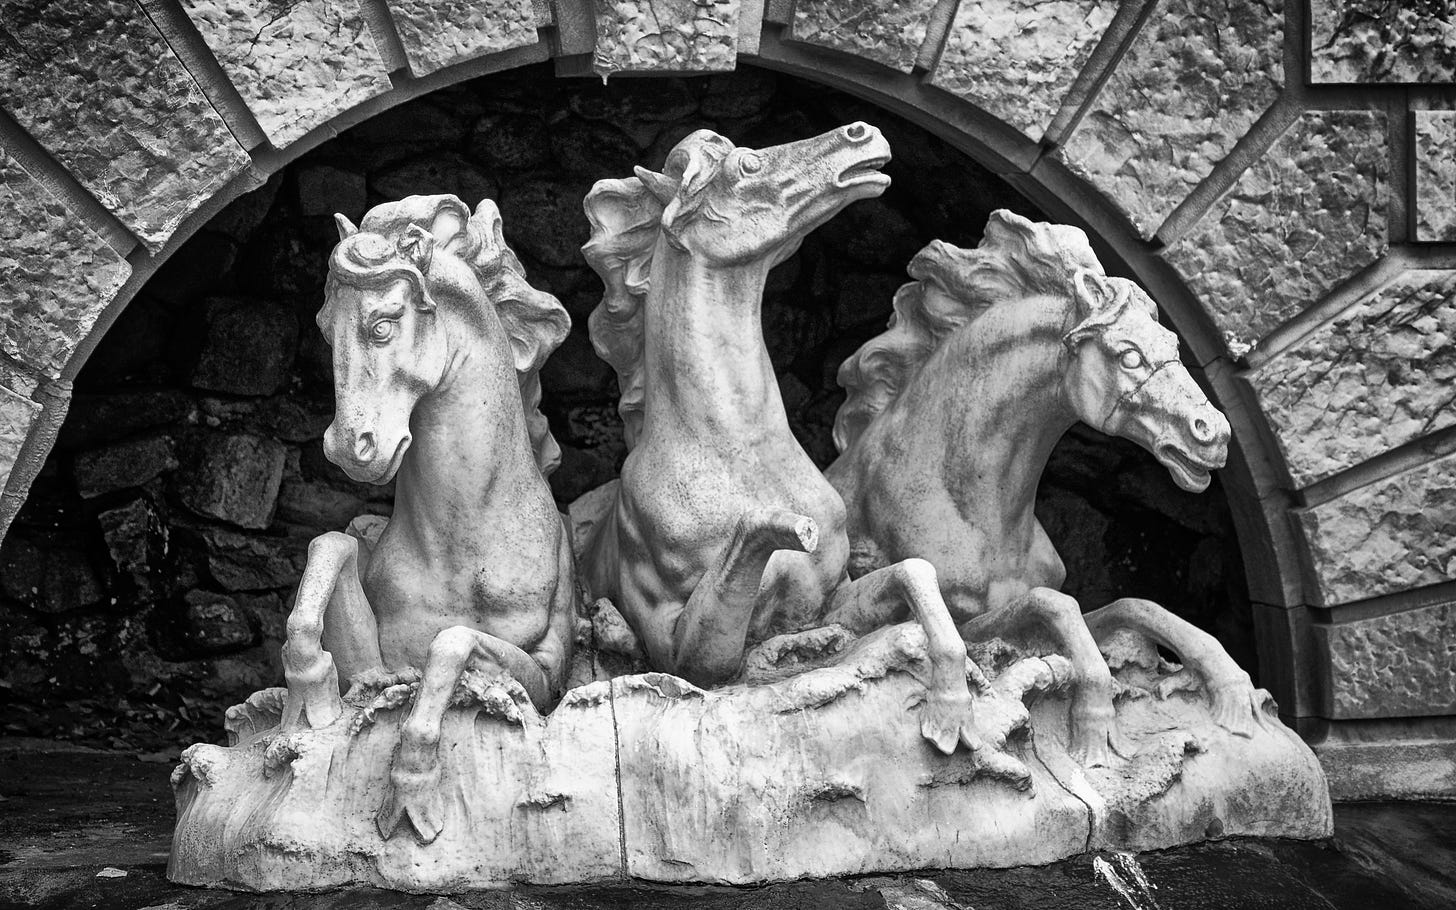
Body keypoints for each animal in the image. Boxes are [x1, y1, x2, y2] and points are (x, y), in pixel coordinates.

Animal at [278, 195, 573, 838]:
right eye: (324, 329)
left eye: (383, 324)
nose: (350, 448)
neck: (466, 535)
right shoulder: (377, 666)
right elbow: (328, 546)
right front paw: (311, 700)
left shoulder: (542, 678)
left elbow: (451, 643)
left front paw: (411, 790)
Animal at [576, 124, 978, 757]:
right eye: (747, 165)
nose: (862, 134)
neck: (734, 449)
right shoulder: (678, 650)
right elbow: (751, 550)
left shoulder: (829, 603)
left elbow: (916, 572)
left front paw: (949, 714)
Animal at [832, 211, 1275, 757]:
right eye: (1128, 356)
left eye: (1173, 345)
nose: (1213, 433)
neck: (972, 502)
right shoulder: (970, 623)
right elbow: (1057, 605)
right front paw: (1094, 720)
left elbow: (1136, 604)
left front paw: (1233, 689)